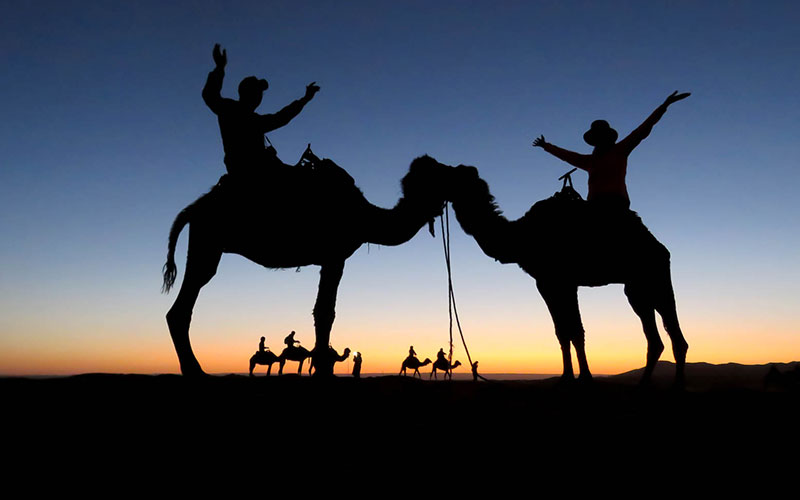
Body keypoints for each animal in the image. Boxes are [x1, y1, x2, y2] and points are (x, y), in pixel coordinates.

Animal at [162, 156, 450, 376]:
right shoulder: (335, 255)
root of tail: (195, 207)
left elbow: (323, 310)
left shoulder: (330, 258)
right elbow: (325, 311)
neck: (364, 216)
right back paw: (195, 370)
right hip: (208, 239)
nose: (457, 171)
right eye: (436, 172)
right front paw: (323, 369)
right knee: (186, 300)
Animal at [438, 160, 688, 386]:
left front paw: (585, 377)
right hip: (636, 289)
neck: (521, 237)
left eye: (453, 175)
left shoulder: (563, 281)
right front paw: (566, 376)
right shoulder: (547, 283)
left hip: (656, 276)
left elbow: (575, 330)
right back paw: (643, 384)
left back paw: (677, 385)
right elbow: (562, 331)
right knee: (655, 338)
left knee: (675, 335)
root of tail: (660, 247)